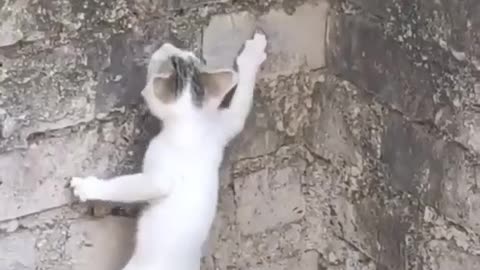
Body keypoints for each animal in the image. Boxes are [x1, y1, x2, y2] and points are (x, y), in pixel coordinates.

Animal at [69, 32, 268, 270]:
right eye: (188, 56)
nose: (168, 46)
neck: (191, 124)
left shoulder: (161, 174)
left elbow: (133, 186)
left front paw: (88, 187)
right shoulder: (222, 127)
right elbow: (240, 109)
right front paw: (252, 56)